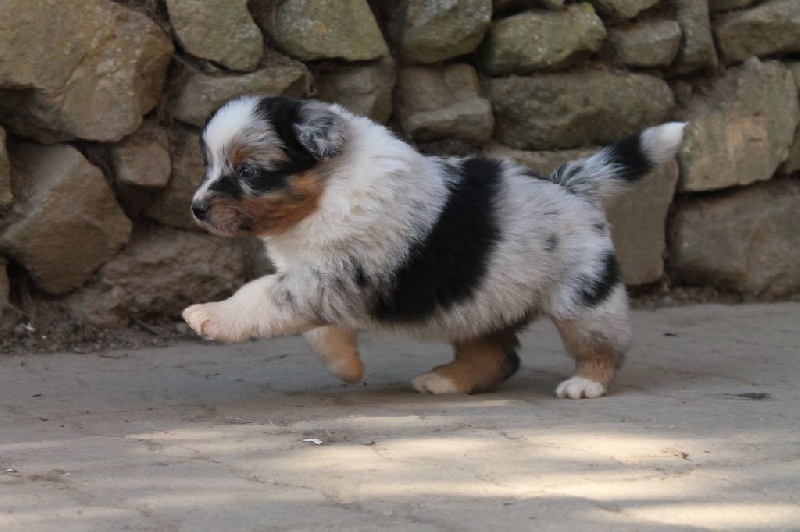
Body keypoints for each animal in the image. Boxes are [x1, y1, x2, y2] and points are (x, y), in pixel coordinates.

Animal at [182, 95, 684, 398]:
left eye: (249, 172)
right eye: (208, 165)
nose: (197, 209)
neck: (327, 189)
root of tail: (570, 185)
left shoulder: (329, 277)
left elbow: (259, 296)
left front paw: (208, 316)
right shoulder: (318, 279)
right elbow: (318, 329)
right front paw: (347, 367)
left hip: (583, 295)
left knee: (603, 343)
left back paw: (585, 383)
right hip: (479, 299)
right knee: (497, 355)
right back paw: (446, 380)